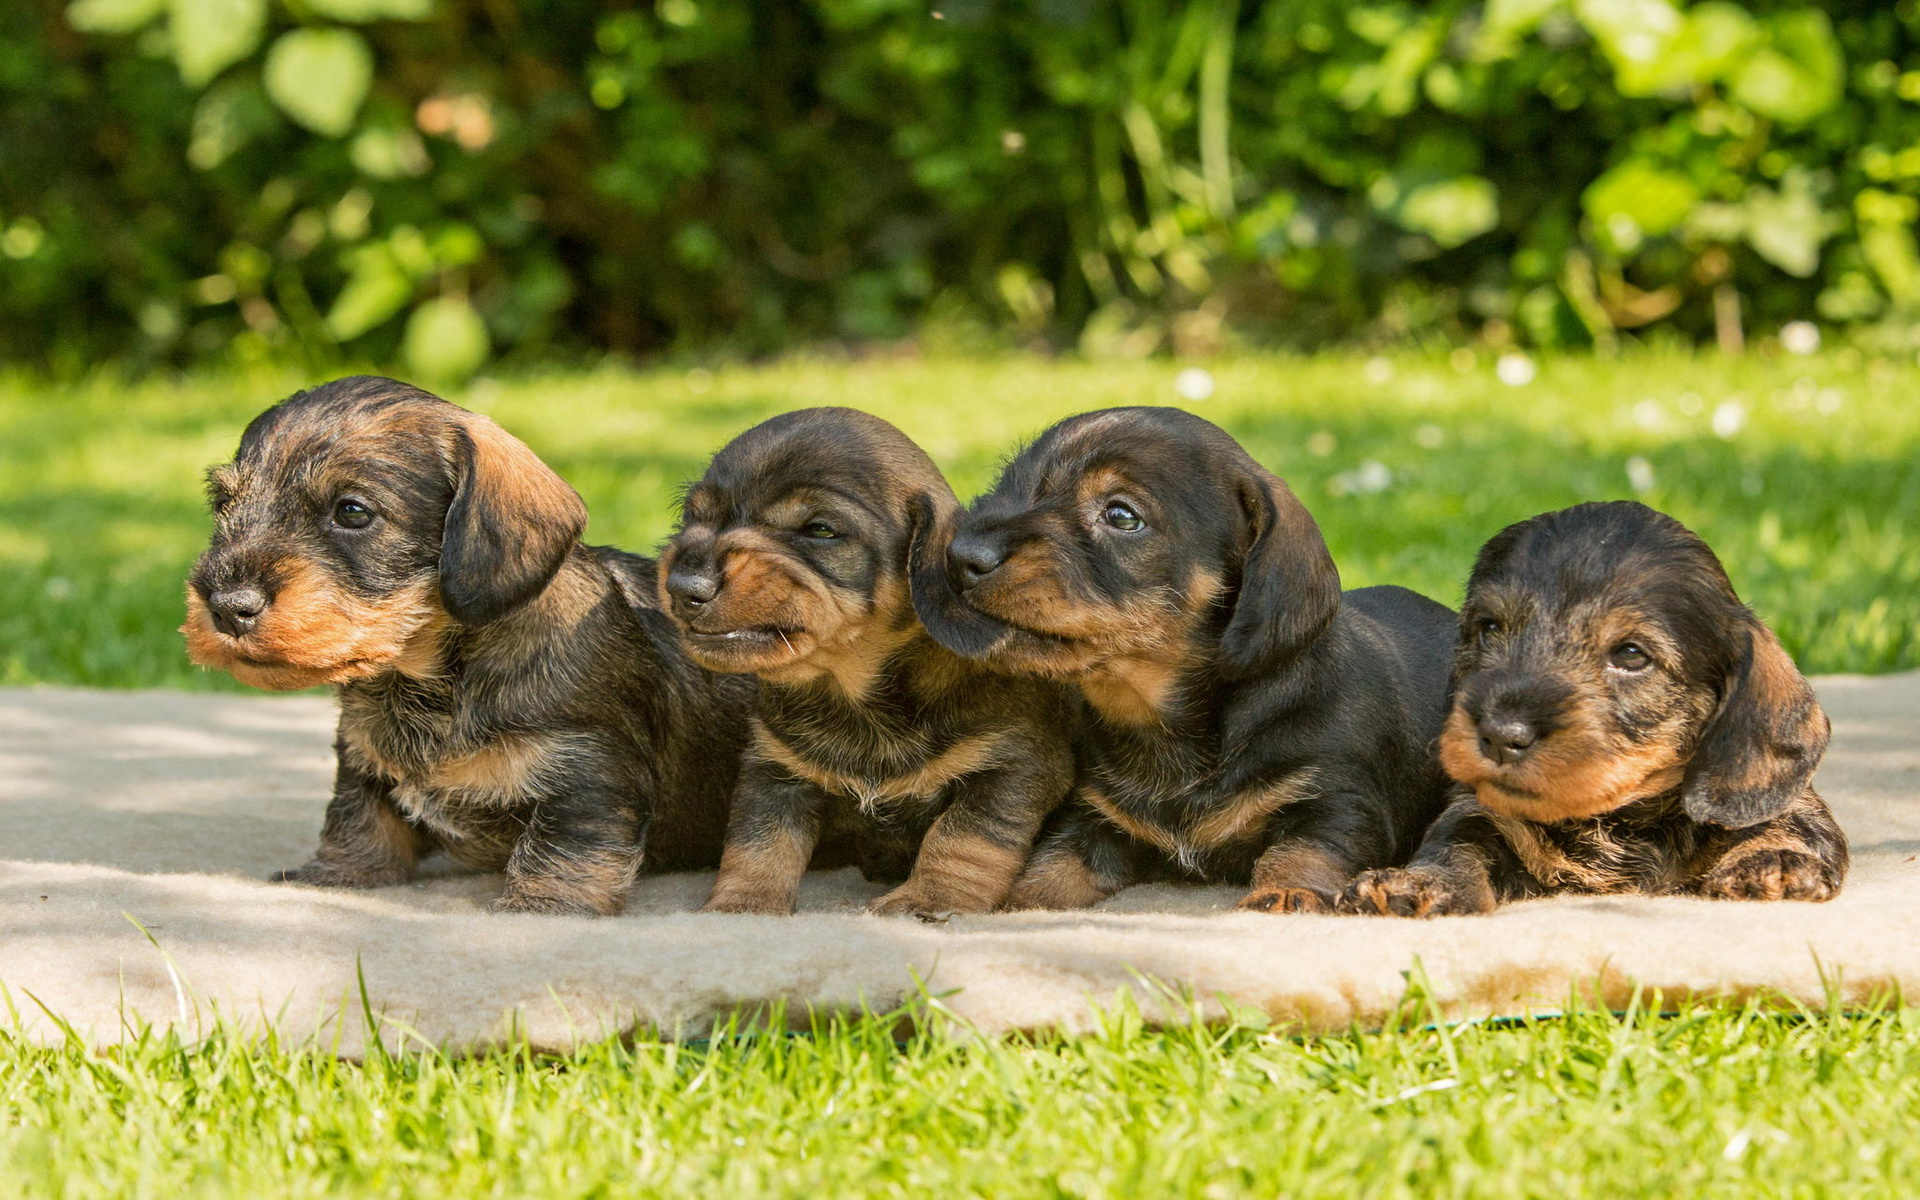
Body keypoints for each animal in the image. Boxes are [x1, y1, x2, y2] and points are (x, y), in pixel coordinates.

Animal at [180, 378, 748, 913]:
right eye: (223, 503)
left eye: (352, 511)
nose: (226, 606)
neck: (427, 681)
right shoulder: (361, 761)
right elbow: (355, 819)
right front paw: (337, 874)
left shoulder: (588, 772)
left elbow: (563, 848)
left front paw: (542, 905)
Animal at [660, 407, 1082, 913]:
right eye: (695, 517)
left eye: (820, 529)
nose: (683, 587)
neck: (853, 696)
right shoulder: (775, 771)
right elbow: (758, 843)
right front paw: (743, 903)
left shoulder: (1015, 766)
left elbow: (963, 838)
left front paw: (930, 896)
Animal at [913, 407, 1451, 913]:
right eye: (1005, 487)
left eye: (1122, 515)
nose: (961, 554)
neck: (1159, 722)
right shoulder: (1093, 819)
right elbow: (1055, 862)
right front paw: (1020, 901)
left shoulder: (1338, 800)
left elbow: (1305, 850)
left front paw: (1286, 892)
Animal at [1336, 499, 1843, 917]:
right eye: (1490, 627)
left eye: (1631, 655)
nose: (1500, 734)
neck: (1617, 821)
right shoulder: (1481, 812)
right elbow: (1456, 842)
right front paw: (1417, 883)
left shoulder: (1792, 803)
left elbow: (1795, 824)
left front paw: (1773, 861)